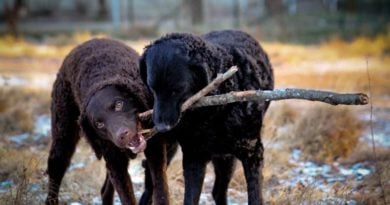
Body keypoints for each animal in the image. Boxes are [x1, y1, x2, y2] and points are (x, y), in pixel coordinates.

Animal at [140, 29, 274, 204]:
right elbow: (190, 198)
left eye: (177, 89)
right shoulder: (194, 156)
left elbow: (255, 196)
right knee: (151, 188)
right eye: (152, 87)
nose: (162, 128)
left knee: (218, 191)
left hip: (226, 157)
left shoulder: (252, 152)